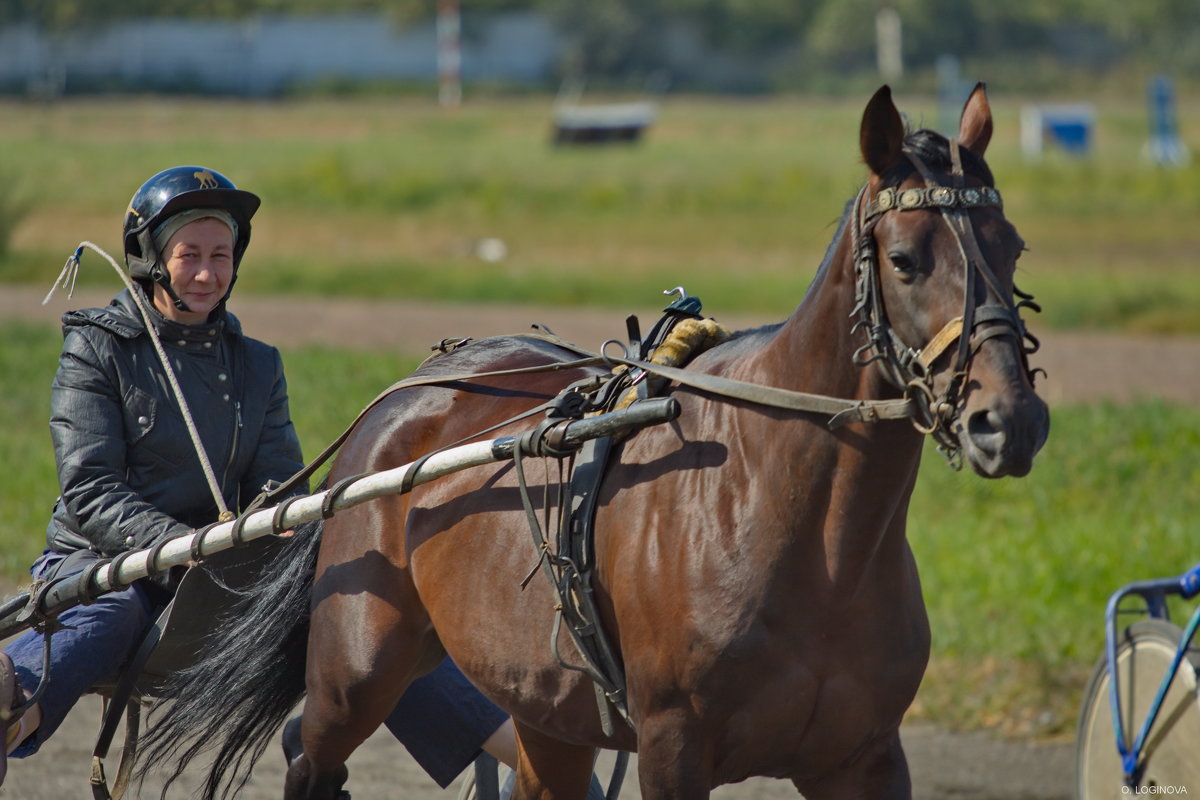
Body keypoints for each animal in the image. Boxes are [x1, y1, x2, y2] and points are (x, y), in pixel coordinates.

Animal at [140, 84, 1051, 796]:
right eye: (904, 259)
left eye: (1012, 247)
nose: (1010, 421)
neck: (806, 532)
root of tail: (399, 401)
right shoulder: (674, 749)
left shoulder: (862, 757)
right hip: (355, 665)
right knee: (311, 751)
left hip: (547, 706)